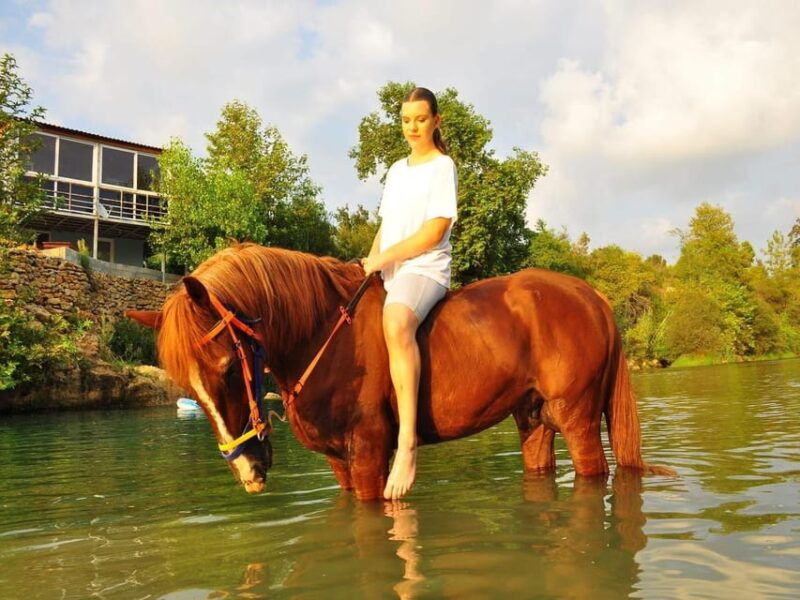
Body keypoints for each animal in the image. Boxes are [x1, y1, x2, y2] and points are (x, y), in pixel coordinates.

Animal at [127, 243, 674, 500]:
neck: (323, 335)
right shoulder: (339, 463)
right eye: (188, 388)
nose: (248, 471)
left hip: (576, 417)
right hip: (534, 418)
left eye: (225, 369)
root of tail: (591, 295)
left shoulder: (368, 453)